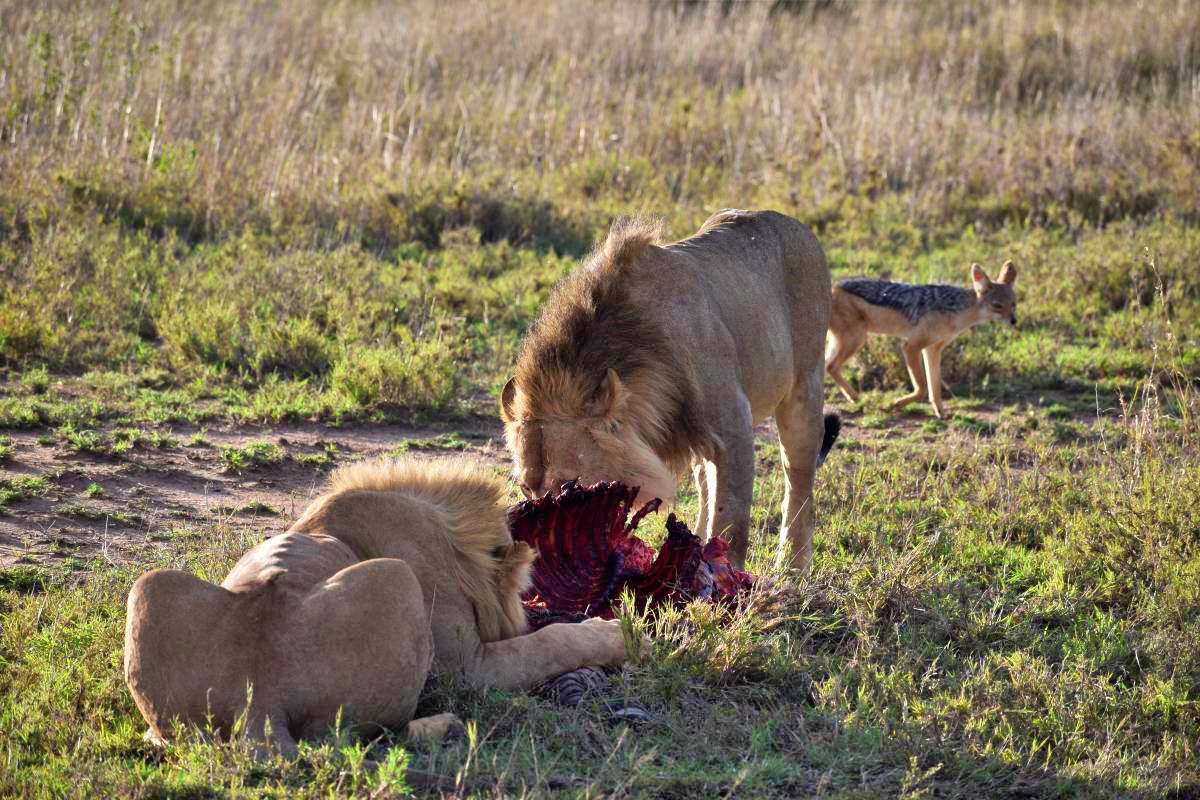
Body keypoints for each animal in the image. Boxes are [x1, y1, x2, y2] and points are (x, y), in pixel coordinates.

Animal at [124, 455, 638, 758]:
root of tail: (259, 701)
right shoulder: (466, 668)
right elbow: (551, 641)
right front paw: (621, 635)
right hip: (397, 578)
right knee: (363, 738)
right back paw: (448, 727)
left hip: (150, 586)